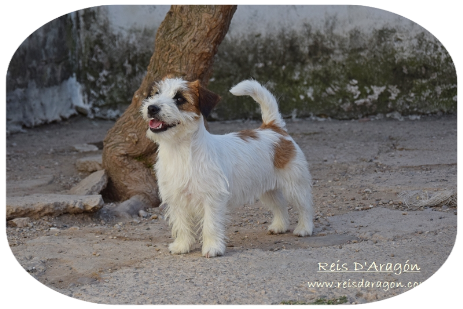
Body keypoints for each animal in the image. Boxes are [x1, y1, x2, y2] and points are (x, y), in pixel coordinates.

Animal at [141, 77, 316, 258]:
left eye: (179, 99)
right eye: (156, 94)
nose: (152, 107)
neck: (180, 151)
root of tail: (274, 128)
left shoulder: (212, 199)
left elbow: (210, 225)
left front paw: (212, 248)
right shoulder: (177, 199)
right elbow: (181, 224)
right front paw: (182, 246)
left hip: (295, 186)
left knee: (305, 206)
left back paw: (304, 228)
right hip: (268, 190)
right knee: (280, 205)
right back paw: (279, 226)